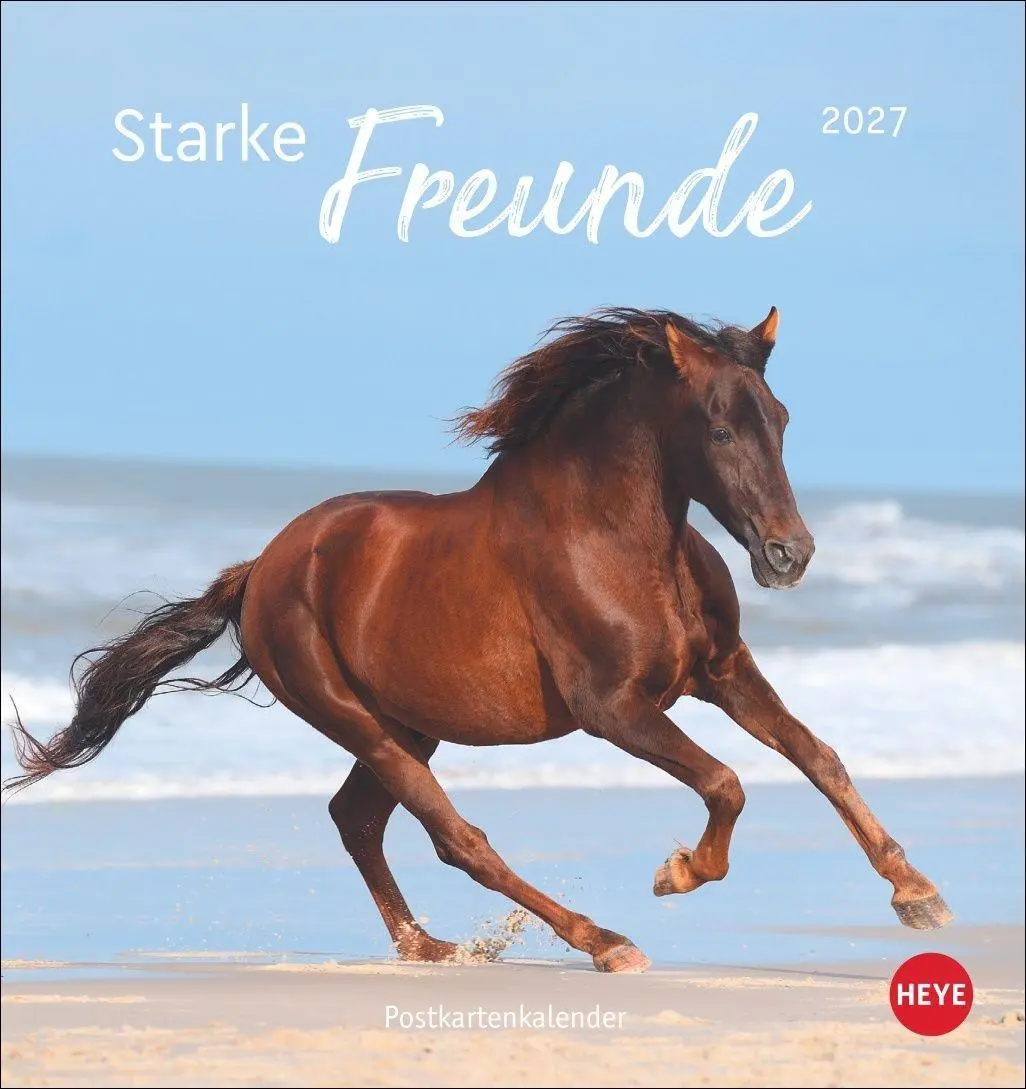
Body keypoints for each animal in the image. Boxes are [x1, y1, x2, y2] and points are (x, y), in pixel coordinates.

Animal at [6, 306, 952, 973]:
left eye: (782, 419)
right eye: (720, 428)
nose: (791, 554)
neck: (613, 535)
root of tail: (263, 567)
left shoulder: (719, 670)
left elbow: (816, 753)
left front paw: (918, 894)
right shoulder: (614, 707)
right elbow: (727, 781)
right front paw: (677, 870)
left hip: (409, 721)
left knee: (357, 820)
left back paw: (430, 947)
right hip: (358, 720)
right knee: (455, 837)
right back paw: (603, 940)